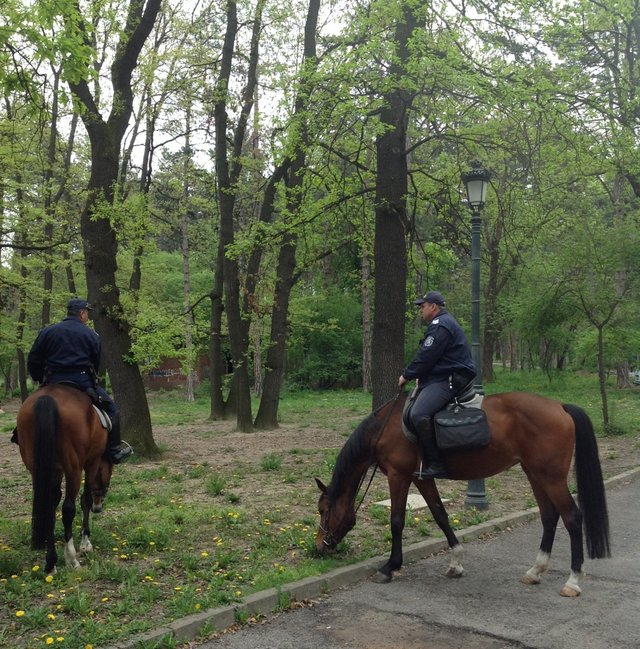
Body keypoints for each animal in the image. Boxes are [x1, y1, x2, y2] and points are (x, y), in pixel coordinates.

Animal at [15, 384, 114, 572]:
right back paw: (72, 559)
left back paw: (51, 563)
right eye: (109, 472)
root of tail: (47, 397)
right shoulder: (92, 462)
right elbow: (85, 500)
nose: (99, 508)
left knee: (48, 507)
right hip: (74, 469)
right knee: (68, 509)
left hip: (35, 466)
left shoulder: (55, 470)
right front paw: (85, 545)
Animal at [316, 390, 608, 596]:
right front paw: (455, 562)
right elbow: (440, 515)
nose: (319, 546)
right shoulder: (421, 479)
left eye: (323, 509)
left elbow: (397, 521)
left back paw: (573, 581)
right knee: (549, 516)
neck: (385, 427)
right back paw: (536, 570)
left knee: (572, 518)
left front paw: (390, 566)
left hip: (552, 478)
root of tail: (559, 406)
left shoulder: (399, 476)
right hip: (535, 474)